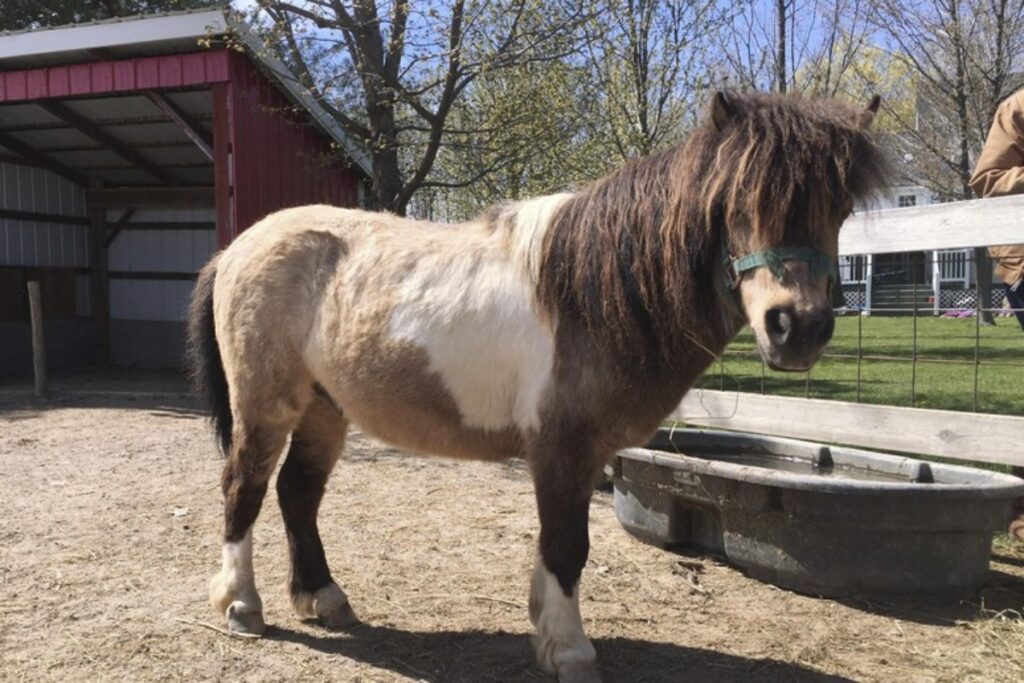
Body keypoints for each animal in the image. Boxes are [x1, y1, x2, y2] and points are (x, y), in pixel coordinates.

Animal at [186, 91, 885, 683]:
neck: (597, 292)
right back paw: (242, 606)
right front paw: (570, 651)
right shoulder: (562, 448)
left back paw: (323, 598)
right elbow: (568, 546)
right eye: (739, 203)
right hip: (266, 406)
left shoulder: (582, 454)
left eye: (841, 208)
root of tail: (240, 247)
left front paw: (545, 629)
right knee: (244, 490)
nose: (798, 327)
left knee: (297, 494)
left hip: (325, 410)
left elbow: (559, 549)